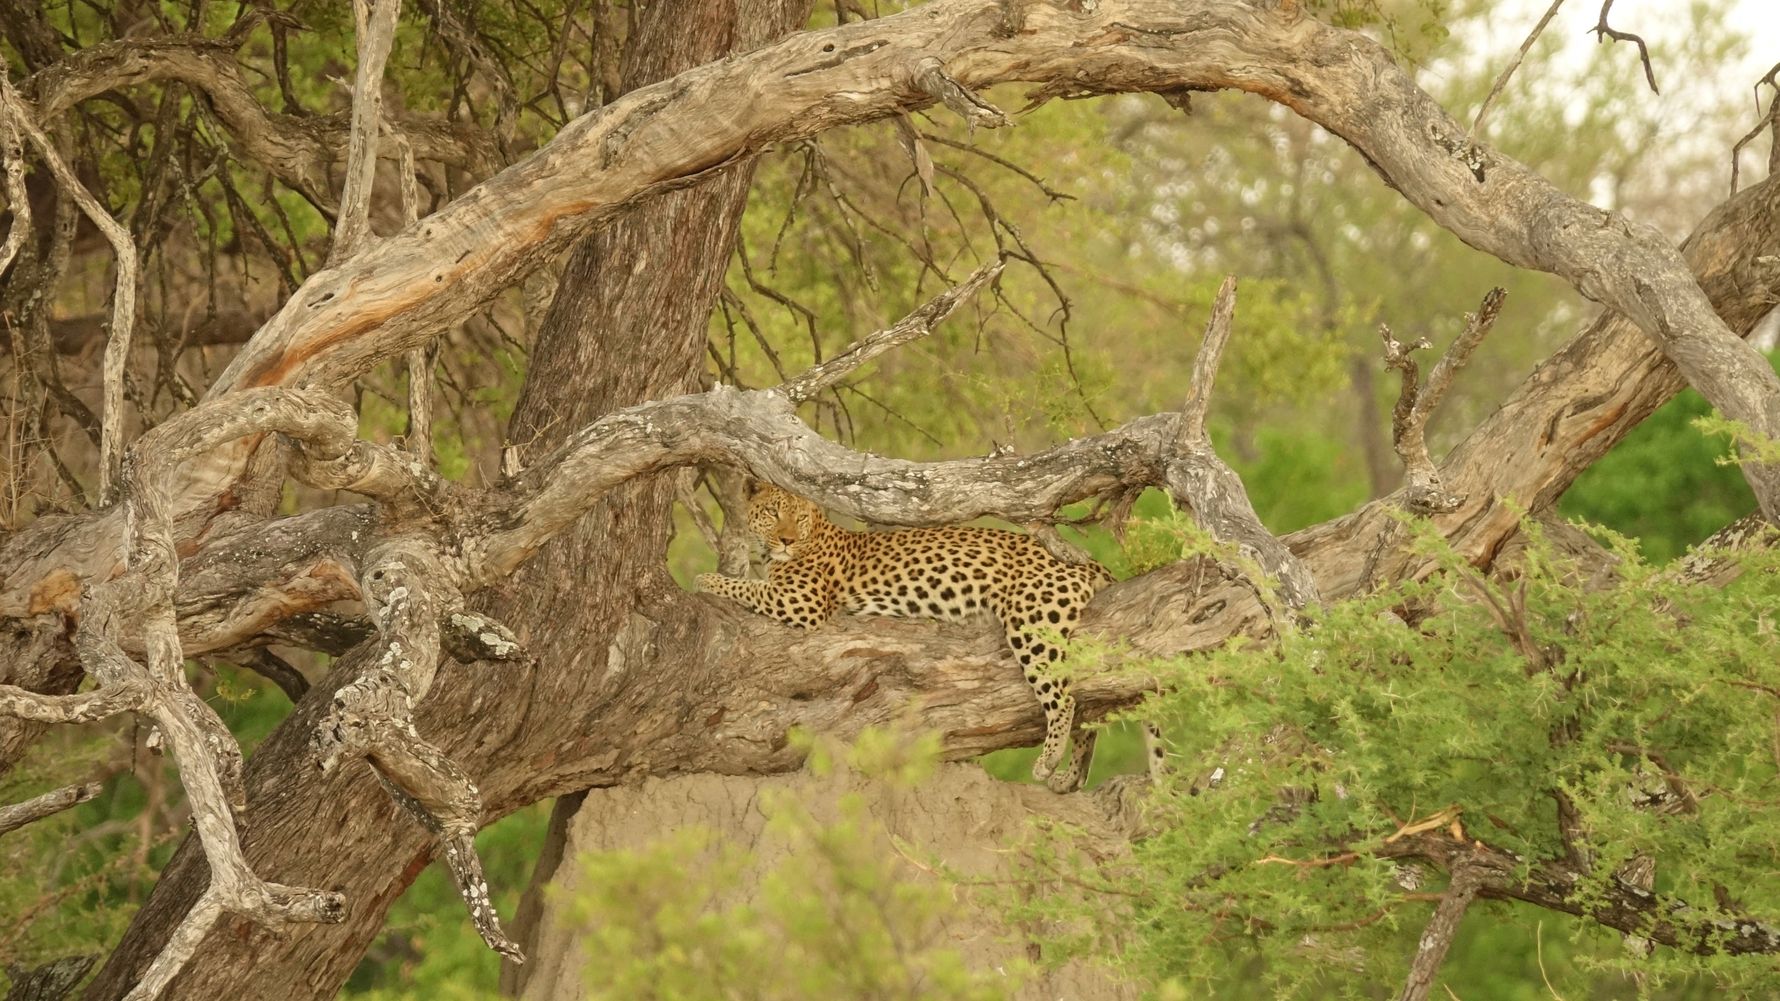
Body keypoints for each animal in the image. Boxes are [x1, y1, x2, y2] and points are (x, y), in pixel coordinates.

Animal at [695, 483, 1162, 792]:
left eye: (799, 517)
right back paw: (1070, 777)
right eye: (774, 512)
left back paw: (1048, 763)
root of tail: (1087, 562)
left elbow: (747, 587)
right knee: (1088, 703)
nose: (787, 539)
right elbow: (752, 581)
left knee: (1063, 697)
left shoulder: (800, 601)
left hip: (1032, 621)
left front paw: (704, 580)